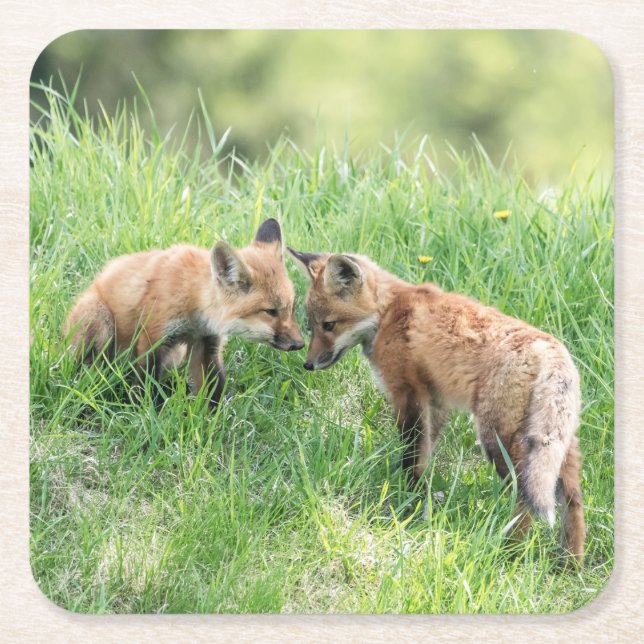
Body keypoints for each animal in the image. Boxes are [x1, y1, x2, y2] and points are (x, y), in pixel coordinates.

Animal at [64, 219, 304, 406]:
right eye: (270, 311)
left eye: (291, 308)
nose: (300, 344)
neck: (192, 299)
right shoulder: (153, 338)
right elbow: (145, 386)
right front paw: (143, 414)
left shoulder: (207, 343)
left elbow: (214, 390)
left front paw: (217, 421)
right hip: (99, 323)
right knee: (88, 368)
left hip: (175, 355)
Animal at [288, 247, 585, 563]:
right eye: (311, 325)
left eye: (329, 325)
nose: (308, 364)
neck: (387, 313)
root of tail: (552, 350)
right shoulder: (436, 403)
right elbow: (424, 455)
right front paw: (420, 499)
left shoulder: (409, 393)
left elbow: (411, 455)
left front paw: (406, 500)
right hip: (557, 447)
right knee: (573, 502)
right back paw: (570, 564)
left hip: (497, 440)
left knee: (524, 495)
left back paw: (510, 552)